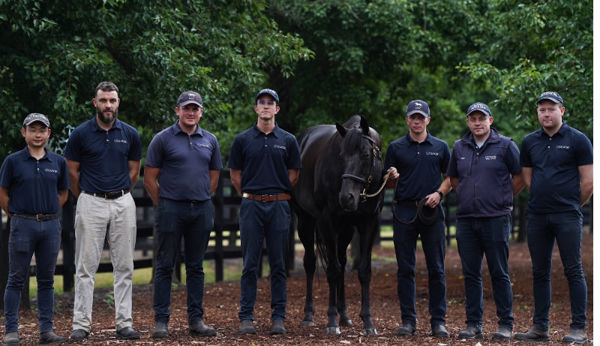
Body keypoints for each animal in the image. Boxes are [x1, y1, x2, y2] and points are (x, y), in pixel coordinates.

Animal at [292, 114, 386, 336]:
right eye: (341, 156)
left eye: (365, 154)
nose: (346, 198)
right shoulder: (327, 222)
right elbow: (332, 271)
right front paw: (331, 321)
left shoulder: (369, 223)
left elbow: (363, 271)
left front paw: (368, 322)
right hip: (306, 222)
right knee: (310, 263)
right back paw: (309, 315)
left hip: (346, 230)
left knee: (342, 263)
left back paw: (344, 315)